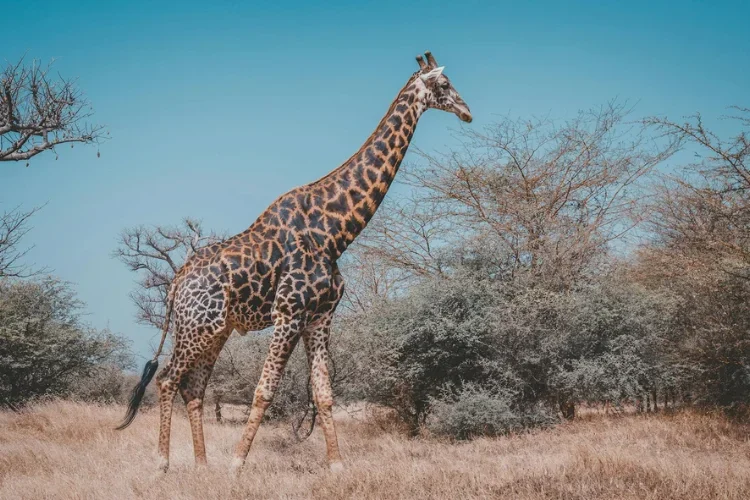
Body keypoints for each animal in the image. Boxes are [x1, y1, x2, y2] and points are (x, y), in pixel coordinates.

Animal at [116, 50, 472, 474]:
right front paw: (236, 464)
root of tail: (176, 283)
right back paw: (163, 462)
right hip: (197, 327)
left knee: (194, 387)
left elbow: (323, 393)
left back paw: (202, 465)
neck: (335, 232)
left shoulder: (319, 316)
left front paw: (336, 466)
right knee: (168, 379)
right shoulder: (289, 312)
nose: (467, 112)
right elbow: (264, 390)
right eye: (445, 85)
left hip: (216, 331)